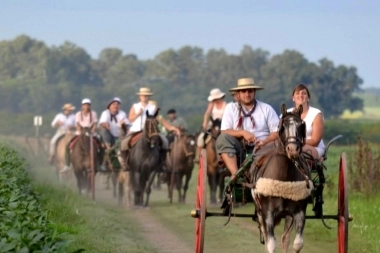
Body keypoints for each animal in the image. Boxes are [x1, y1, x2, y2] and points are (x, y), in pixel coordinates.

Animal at [251, 104, 310, 253]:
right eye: (282, 126)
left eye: (301, 125)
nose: (292, 149)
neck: (284, 179)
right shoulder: (268, 213)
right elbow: (271, 244)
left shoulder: (299, 213)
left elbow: (297, 243)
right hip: (260, 212)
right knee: (267, 237)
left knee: (285, 238)